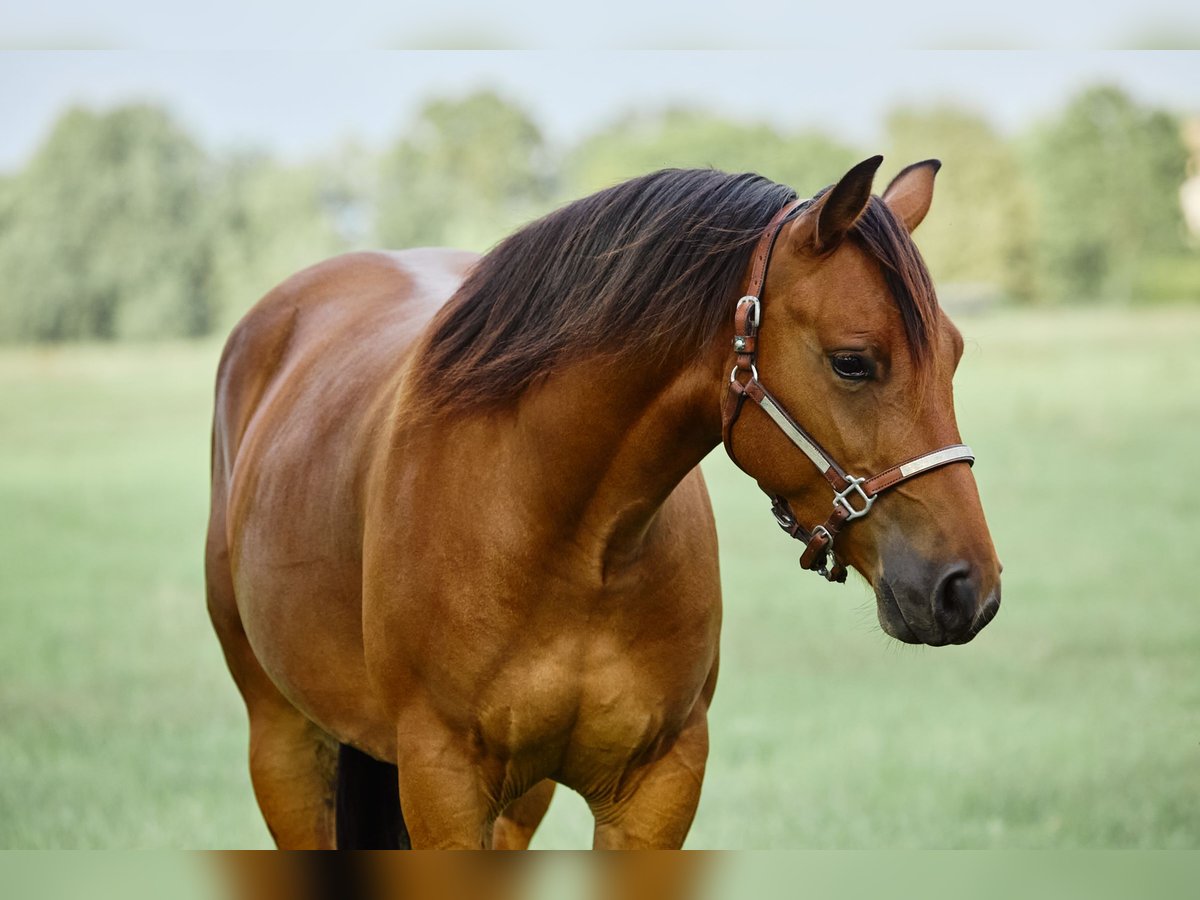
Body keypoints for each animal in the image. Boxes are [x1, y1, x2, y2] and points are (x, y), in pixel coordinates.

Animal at [206, 157, 1003, 854]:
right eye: (852, 362)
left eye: (955, 355)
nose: (967, 589)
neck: (571, 539)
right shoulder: (442, 785)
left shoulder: (657, 786)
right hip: (282, 741)